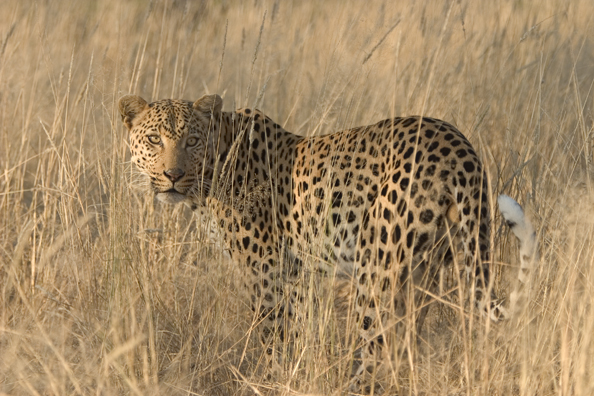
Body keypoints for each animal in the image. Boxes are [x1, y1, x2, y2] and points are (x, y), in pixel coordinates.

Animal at [119, 93, 512, 392]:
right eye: (154, 140)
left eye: (192, 141)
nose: (173, 175)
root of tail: (459, 147)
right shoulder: (295, 275)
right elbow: (295, 333)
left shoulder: (265, 271)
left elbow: (273, 335)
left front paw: (273, 382)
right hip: (428, 269)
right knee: (405, 345)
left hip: (379, 271)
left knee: (376, 350)